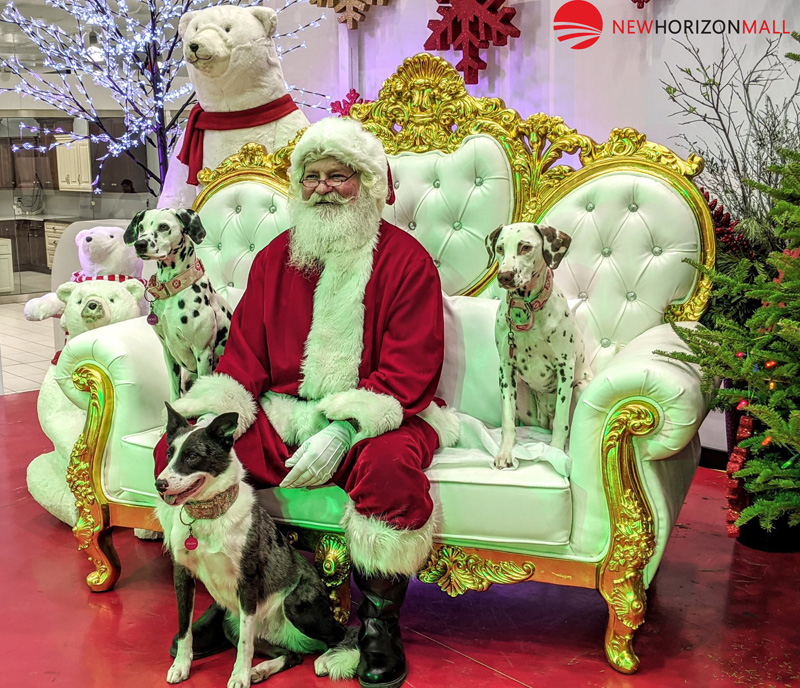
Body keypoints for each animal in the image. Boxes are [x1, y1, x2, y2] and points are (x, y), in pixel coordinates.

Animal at [124, 211, 231, 404]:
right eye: (141, 227)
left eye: (163, 227)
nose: (140, 244)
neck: (174, 290)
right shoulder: (168, 352)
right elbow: (174, 394)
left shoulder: (203, 353)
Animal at [484, 222, 592, 468]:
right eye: (500, 248)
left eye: (525, 247)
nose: (504, 276)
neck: (527, 310)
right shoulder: (506, 369)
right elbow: (507, 421)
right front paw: (505, 453)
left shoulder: (565, 368)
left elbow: (562, 422)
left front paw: (555, 453)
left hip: (580, 386)